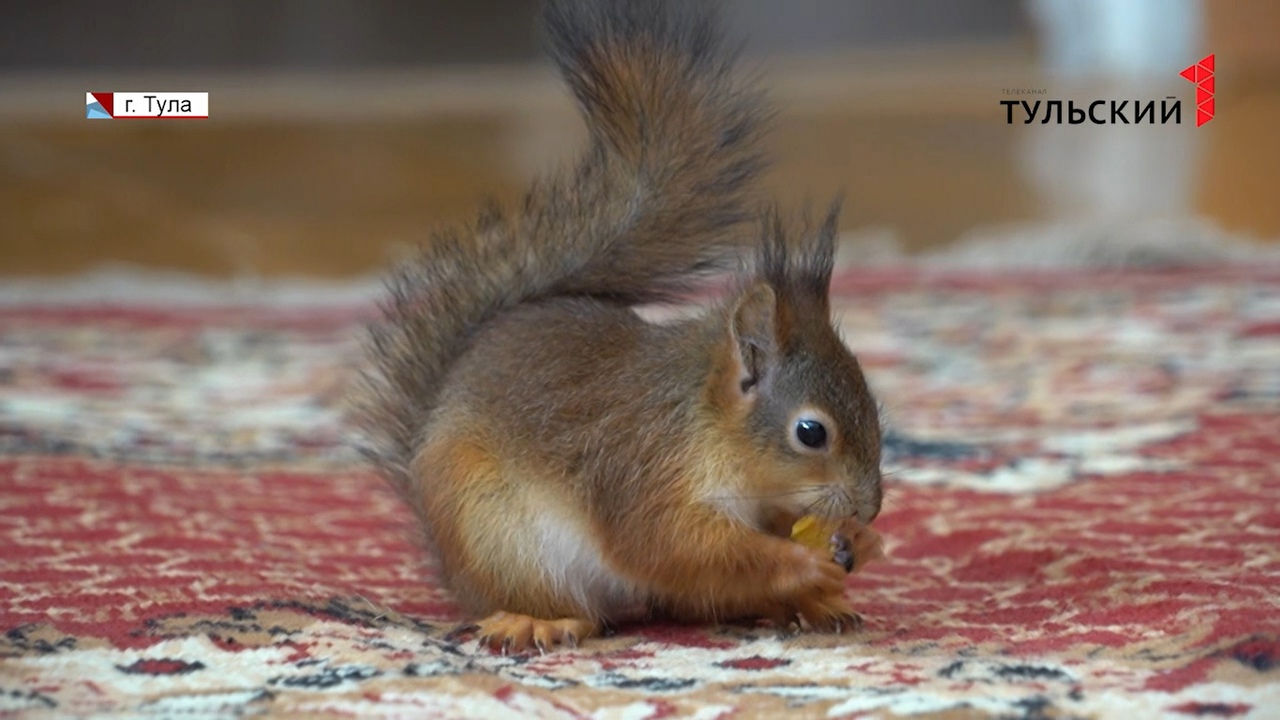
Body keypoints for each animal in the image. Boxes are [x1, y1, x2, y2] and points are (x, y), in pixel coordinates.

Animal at [355, 0, 885, 650]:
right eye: (811, 433)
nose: (870, 507)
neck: (707, 425)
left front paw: (857, 545)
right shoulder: (642, 470)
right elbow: (677, 544)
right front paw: (804, 563)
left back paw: (811, 607)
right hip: (499, 533)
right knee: (580, 605)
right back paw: (538, 619)